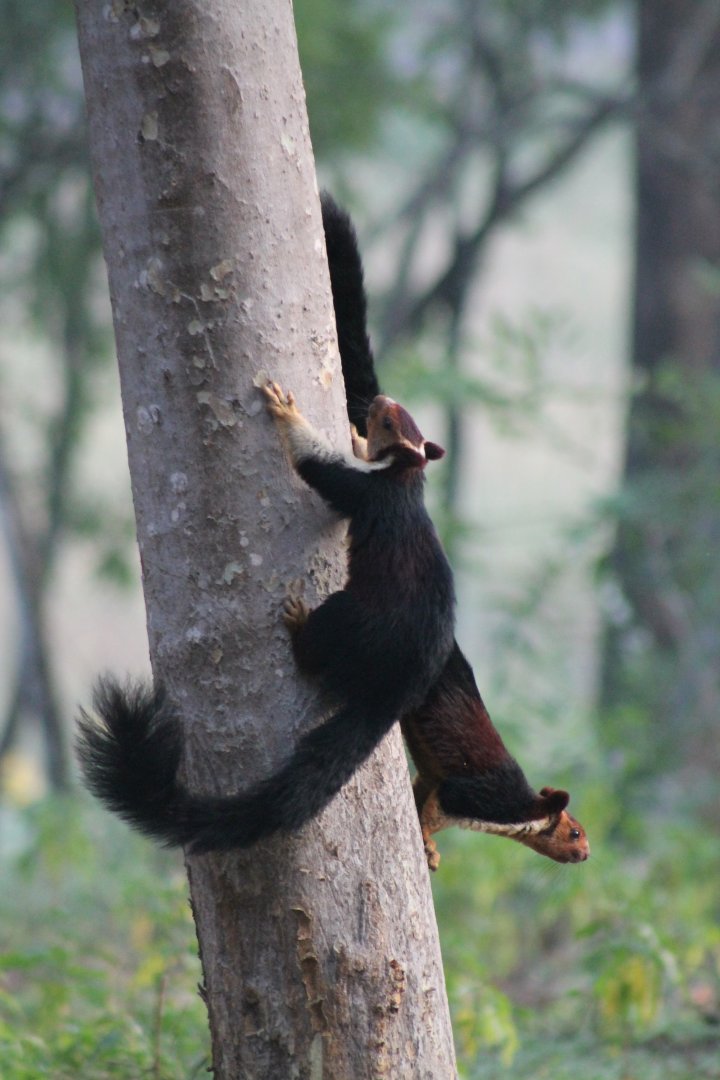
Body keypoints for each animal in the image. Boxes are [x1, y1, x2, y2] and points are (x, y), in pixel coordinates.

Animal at [77, 375, 455, 853]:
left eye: (389, 421)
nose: (379, 401)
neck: (406, 476)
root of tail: (396, 692)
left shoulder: (363, 490)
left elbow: (319, 466)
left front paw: (286, 409)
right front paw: (354, 437)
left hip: (349, 619)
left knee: (315, 654)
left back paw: (297, 625)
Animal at [321, 192, 589, 869]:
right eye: (575, 832)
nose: (586, 855)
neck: (518, 813)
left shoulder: (437, 778)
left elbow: (424, 793)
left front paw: (433, 852)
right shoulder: (471, 792)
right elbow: (435, 810)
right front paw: (428, 846)